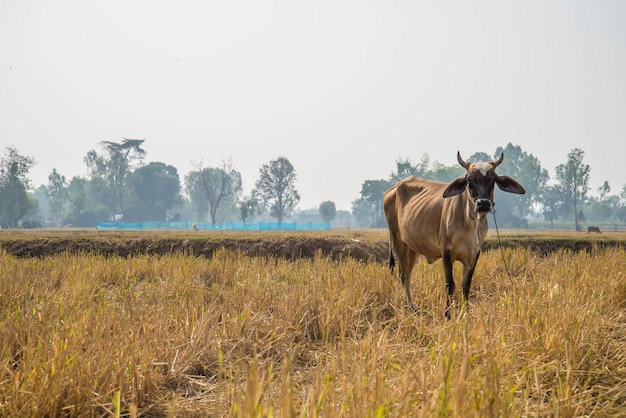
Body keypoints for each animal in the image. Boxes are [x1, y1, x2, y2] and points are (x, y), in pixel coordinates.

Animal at [382, 152, 524, 318]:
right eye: (469, 179)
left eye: (493, 178)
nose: (483, 204)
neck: (470, 224)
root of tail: (393, 189)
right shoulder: (447, 252)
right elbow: (450, 285)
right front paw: (447, 315)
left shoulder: (474, 254)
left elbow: (466, 285)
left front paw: (466, 312)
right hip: (398, 241)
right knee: (404, 276)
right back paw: (411, 308)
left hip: (411, 248)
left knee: (406, 275)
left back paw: (411, 307)